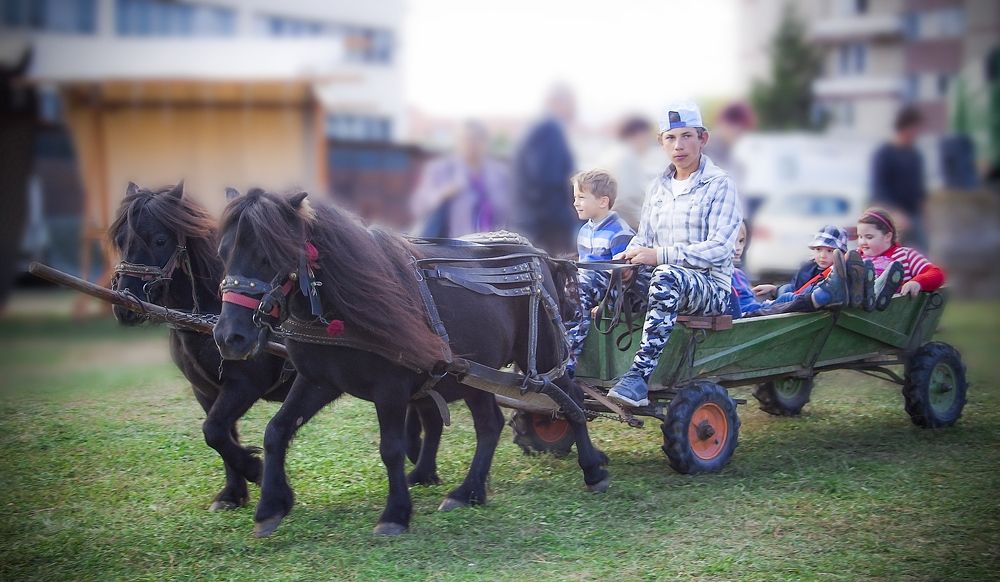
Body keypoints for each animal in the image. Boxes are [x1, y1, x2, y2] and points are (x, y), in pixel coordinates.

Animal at [109, 181, 296, 511]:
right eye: (120, 240)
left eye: (159, 240)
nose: (125, 306)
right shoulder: (205, 390)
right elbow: (221, 435)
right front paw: (232, 494)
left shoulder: (245, 385)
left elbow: (213, 431)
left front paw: (256, 470)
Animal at [213, 188, 610, 537]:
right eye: (222, 252)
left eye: (269, 254)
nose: (230, 337)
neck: (342, 306)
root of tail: (540, 254)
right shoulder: (318, 380)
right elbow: (276, 431)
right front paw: (270, 505)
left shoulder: (390, 389)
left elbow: (391, 448)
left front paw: (395, 514)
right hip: (475, 374)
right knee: (490, 425)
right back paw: (468, 492)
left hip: (542, 357)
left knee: (572, 399)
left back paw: (592, 468)